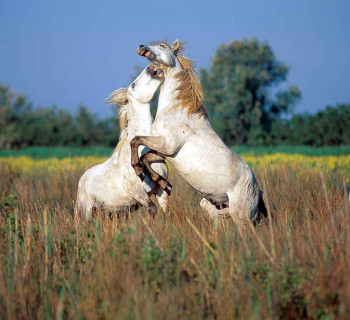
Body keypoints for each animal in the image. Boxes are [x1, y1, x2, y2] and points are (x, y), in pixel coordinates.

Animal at [75, 65, 170, 220]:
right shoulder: (139, 194)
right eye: (133, 85)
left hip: (110, 212)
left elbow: (166, 211)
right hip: (86, 210)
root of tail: (82, 179)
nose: (150, 67)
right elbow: (152, 210)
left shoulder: (160, 192)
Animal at [130, 39, 266, 225]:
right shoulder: (163, 150)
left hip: (241, 216)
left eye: (162, 46)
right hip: (211, 206)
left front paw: (139, 171)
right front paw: (164, 184)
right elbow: (145, 156)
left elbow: (136, 141)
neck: (177, 111)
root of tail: (257, 189)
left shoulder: (167, 145)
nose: (141, 47)